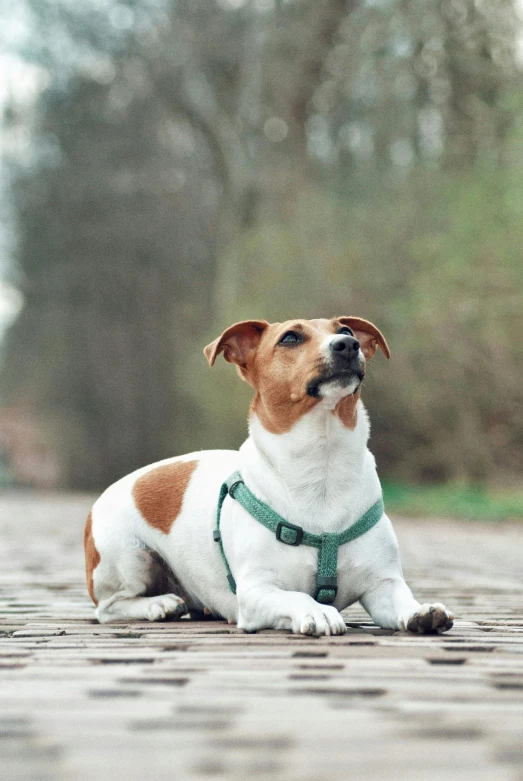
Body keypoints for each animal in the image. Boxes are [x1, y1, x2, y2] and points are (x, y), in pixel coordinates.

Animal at [85, 316, 454, 632]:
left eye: (347, 330)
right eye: (290, 338)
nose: (347, 345)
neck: (322, 466)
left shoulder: (382, 584)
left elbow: (400, 598)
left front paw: (421, 611)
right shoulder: (257, 591)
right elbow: (296, 596)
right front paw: (318, 611)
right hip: (128, 556)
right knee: (110, 606)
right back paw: (158, 605)